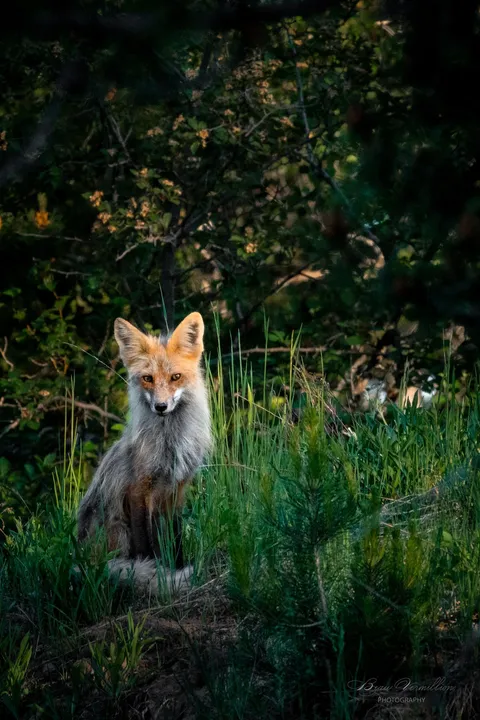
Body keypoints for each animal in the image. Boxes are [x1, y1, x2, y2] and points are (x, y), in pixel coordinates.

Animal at [77, 311, 211, 595]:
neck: (168, 445)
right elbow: (145, 548)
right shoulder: (138, 490)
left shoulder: (175, 491)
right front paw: (158, 576)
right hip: (118, 529)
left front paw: (177, 568)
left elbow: (176, 539)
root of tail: (80, 562)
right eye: (147, 378)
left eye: (175, 377)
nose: (161, 407)